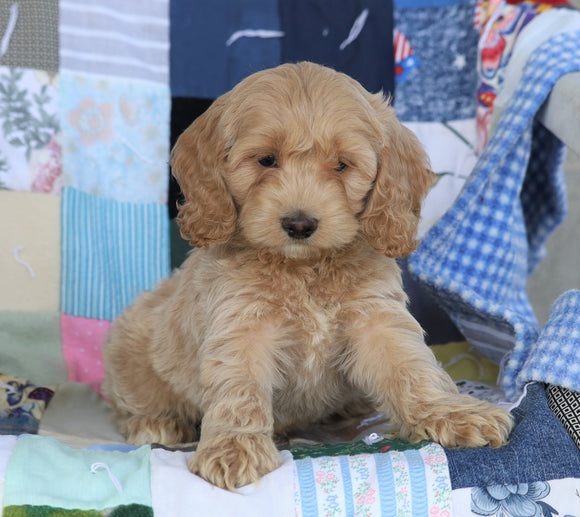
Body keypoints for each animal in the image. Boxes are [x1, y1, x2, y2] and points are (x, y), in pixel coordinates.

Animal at [103, 62, 512, 490]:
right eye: (266, 160)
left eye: (341, 165)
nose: (299, 223)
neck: (305, 267)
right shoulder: (242, 326)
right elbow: (239, 386)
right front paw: (235, 446)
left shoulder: (376, 320)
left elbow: (411, 369)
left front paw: (451, 413)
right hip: (130, 351)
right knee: (131, 402)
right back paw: (157, 422)